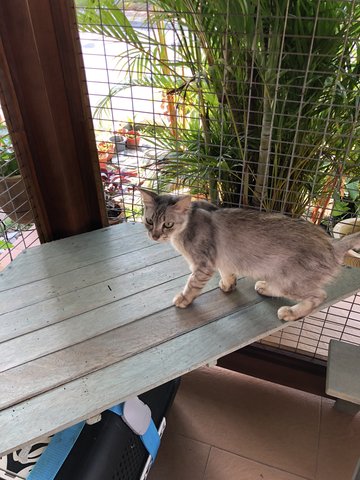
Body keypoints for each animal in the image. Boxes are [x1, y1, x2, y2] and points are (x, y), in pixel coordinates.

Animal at [139, 189, 360, 320]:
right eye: (149, 221)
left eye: (168, 224)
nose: (155, 235)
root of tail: (333, 244)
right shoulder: (221, 260)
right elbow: (227, 273)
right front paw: (228, 285)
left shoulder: (203, 265)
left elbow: (192, 285)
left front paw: (184, 299)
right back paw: (265, 287)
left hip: (290, 281)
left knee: (319, 295)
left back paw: (290, 312)